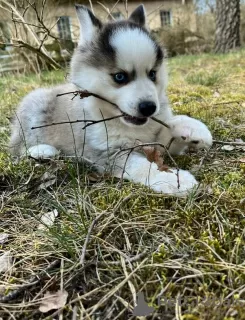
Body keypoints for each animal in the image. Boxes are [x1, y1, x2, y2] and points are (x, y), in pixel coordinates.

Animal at [9, 4, 212, 195]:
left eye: (153, 74)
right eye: (120, 77)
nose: (149, 108)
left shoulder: (155, 141)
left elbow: (170, 125)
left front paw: (193, 129)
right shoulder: (108, 154)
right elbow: (142, 167)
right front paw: (173, 180)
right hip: (35, 102)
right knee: (18, 147)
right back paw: (42, 150)